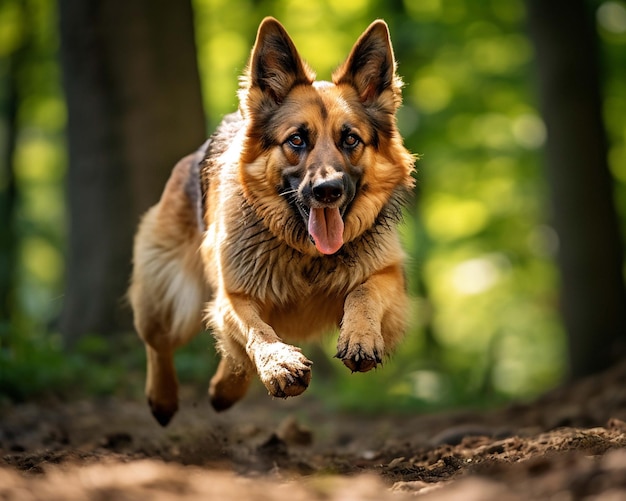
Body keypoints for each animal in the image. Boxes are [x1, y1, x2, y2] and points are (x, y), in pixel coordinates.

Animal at [128, 15, 414, 424]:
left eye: (350, 140)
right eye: (296, 140)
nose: (328, 191)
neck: (306, 254)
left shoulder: (387, 274)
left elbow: (364, 292)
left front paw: (360, 337)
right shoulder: (234, 295)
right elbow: (255, 331)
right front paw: (279, 364)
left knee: (230, 358)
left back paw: (224, 391)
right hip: (167, 301)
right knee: (160, 343)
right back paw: (164, 398)